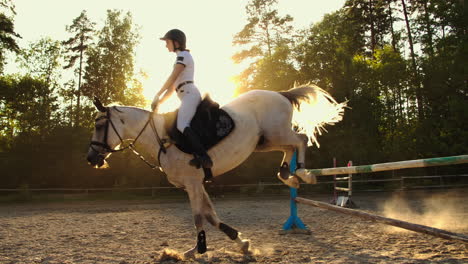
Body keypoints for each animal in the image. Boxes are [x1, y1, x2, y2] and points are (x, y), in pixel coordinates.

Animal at [87, 84, 344, 258]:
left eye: (99, 125)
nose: (91, 158)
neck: (161, 139)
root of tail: (281, 94)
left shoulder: (192, 183)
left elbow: (198, 217)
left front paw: (199, 249)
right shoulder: (196, 184)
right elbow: (210, 215)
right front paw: (239, 242)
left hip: (277, 133)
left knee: (300, 140)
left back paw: (302, 174)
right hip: (267, 140)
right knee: (290, 148)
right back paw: (288, 178)